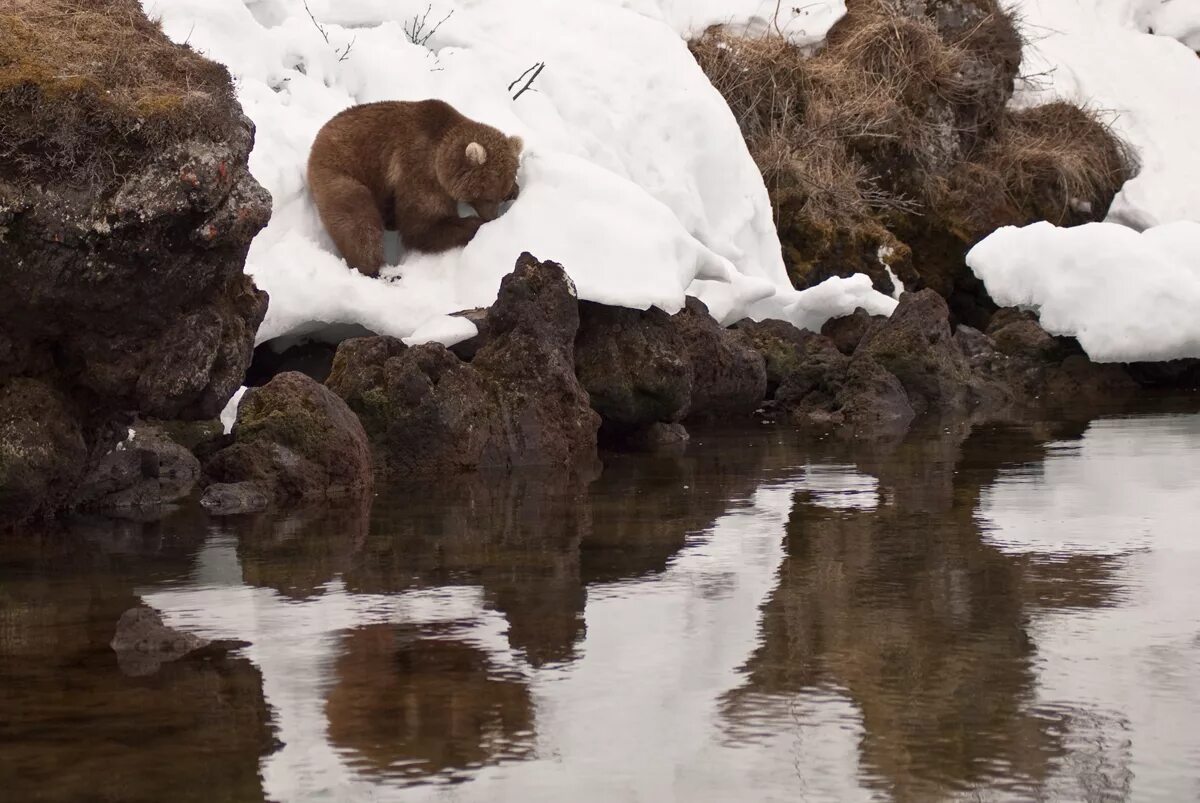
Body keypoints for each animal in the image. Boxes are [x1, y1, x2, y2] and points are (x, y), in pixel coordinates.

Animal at [304, 99, 520, 276]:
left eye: (501, 194)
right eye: (488, 196)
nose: (492, 216)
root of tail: (320, 134)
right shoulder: (419, 170)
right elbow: (422, 225)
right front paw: (474, 224)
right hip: (339, 173)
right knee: (358, 222)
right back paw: (376, 269)